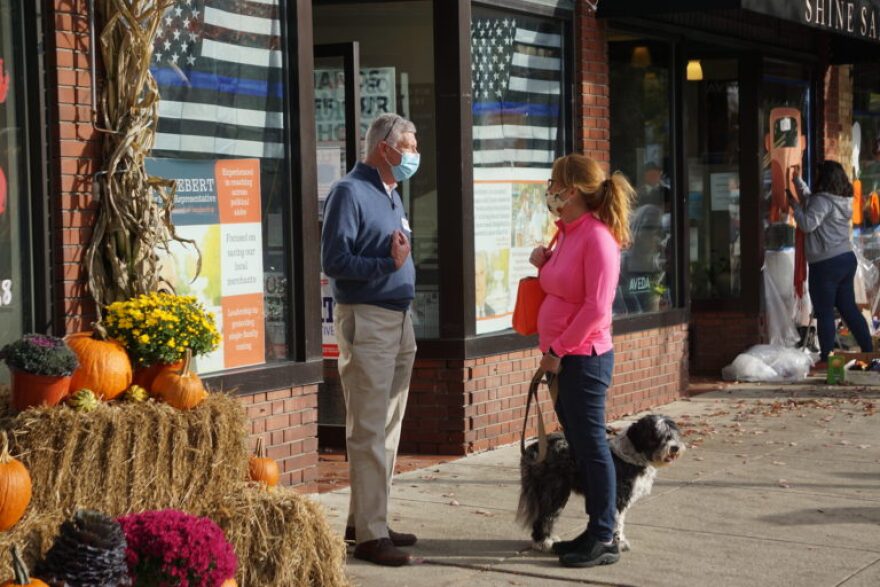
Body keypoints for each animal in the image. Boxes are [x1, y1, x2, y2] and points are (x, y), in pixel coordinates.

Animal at [520, 414, 684, 552]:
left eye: (673, 433)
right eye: (656, 435)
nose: (675, 447)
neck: (631, 456)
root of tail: (533, 448)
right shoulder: (618, 498)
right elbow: (618, 523)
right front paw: (619, 542)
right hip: (555, 491)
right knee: (544, 517)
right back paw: (544, 542)